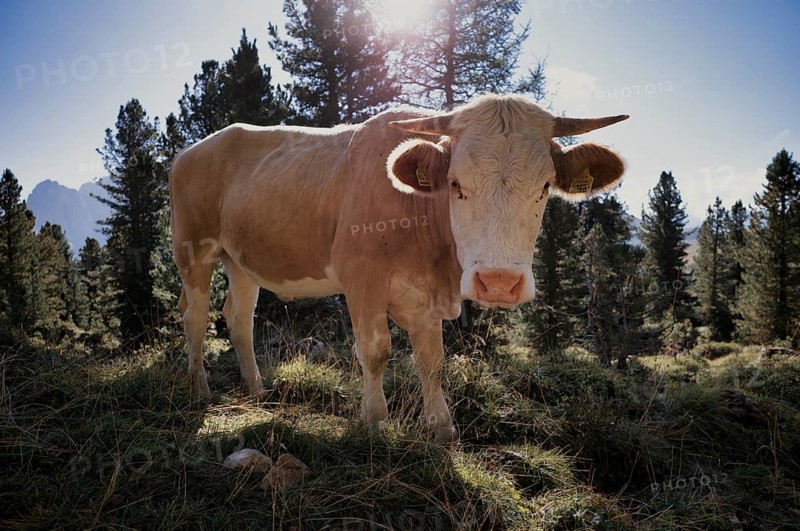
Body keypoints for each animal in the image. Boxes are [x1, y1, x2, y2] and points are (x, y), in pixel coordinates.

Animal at [169, 94, 628, 443]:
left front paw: (441, 427)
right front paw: (374, 421)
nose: (498, 281)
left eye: (545, 186)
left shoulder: (424, 298)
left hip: (241, 260)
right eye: (456, 184)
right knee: (196, 318)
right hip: (194, 249)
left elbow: (433, 360)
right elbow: (376, 352)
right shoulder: (362, 278)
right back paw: (198, 388)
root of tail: (192, 149)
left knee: (238, 318)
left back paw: (257, 389)